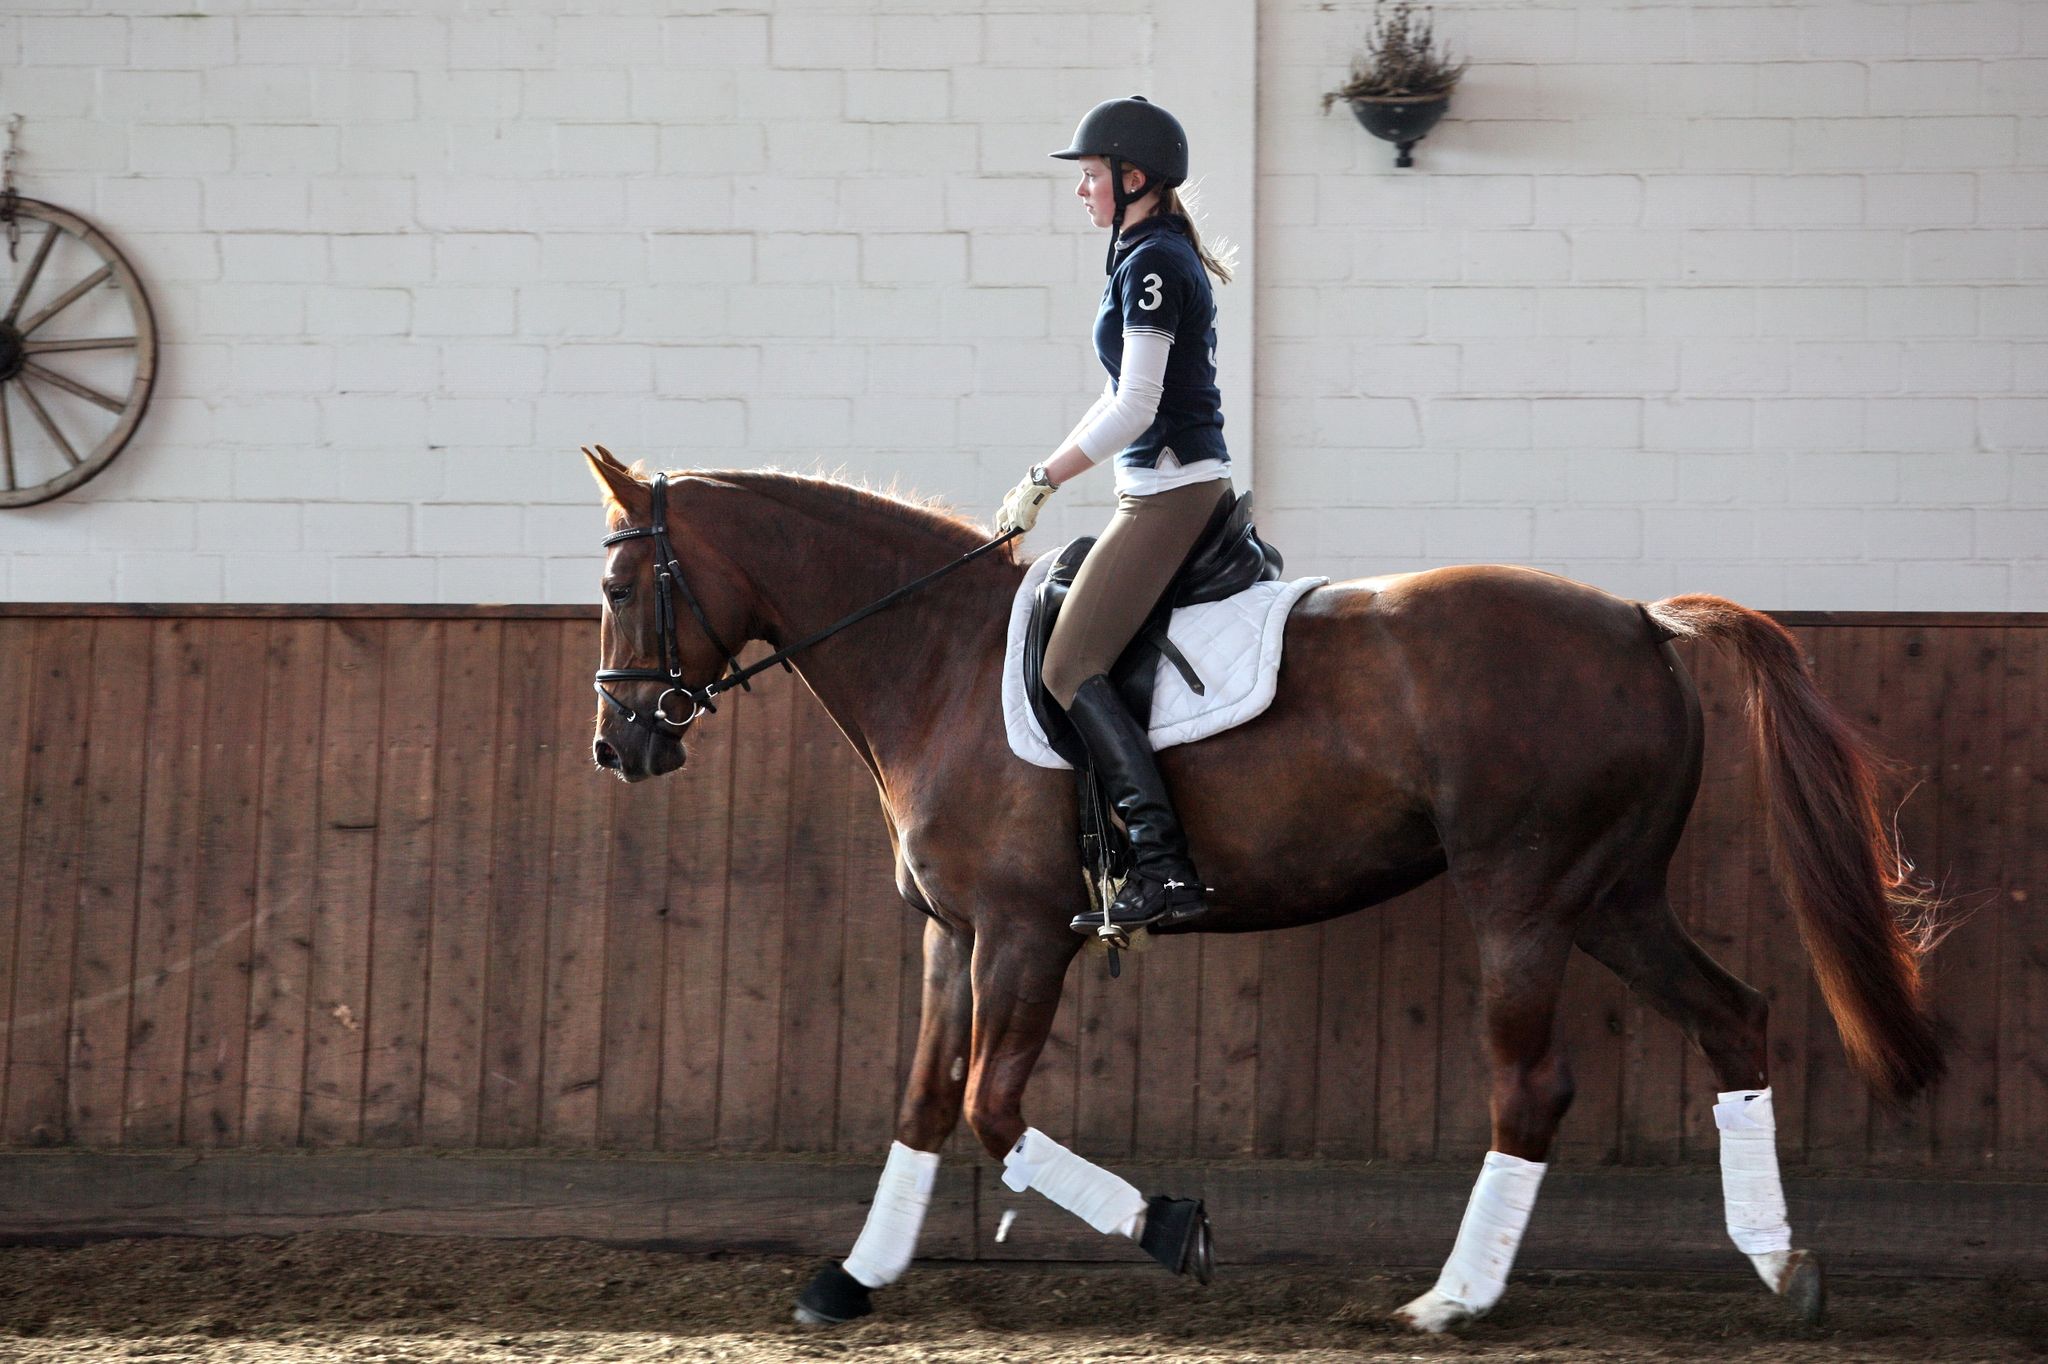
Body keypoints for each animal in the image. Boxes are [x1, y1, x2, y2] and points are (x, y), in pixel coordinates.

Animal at [585, 446, 1941, 1327]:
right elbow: (922, 1101)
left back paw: (1453, 1296)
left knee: (1533, 1084)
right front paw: (851, 1278)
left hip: (1522, 896)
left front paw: (1172, 1226)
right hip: (1609, 896)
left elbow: (990, 1107)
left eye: (617, 587)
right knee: (1732, 1017)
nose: (621, 746)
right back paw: (1779, 1266)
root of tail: (1641, 622)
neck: (939, 658)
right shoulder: (950, 933)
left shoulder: (1023, 934)